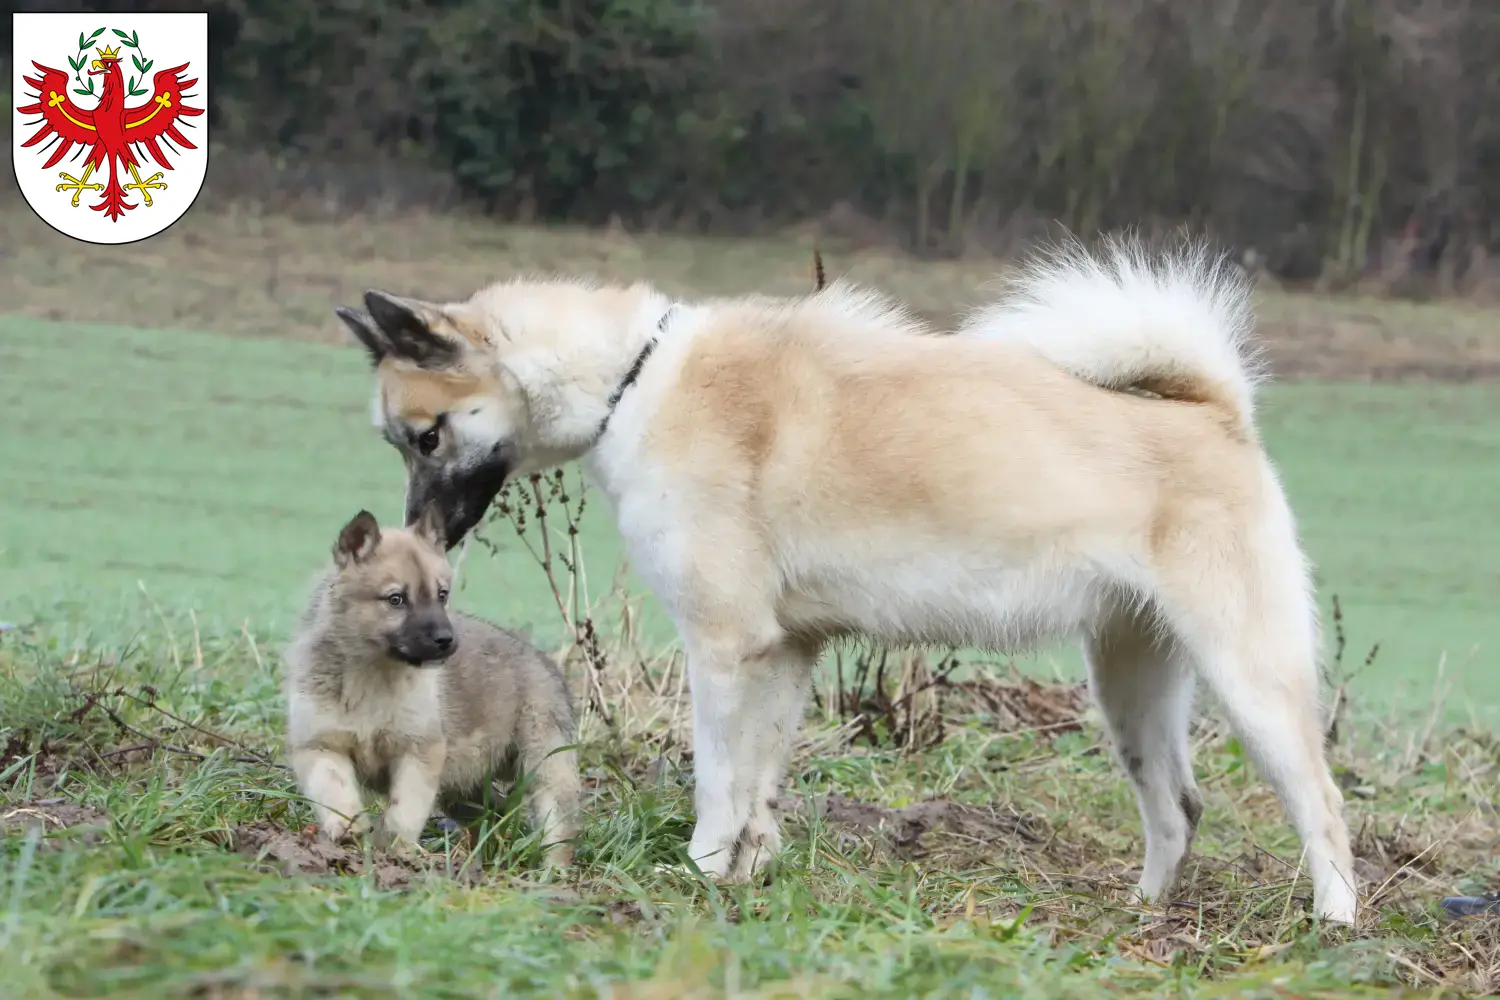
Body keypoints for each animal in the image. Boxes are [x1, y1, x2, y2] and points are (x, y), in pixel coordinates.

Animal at [282, 509, 585, 869]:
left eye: (442, 594)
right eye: (396, 599)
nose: (447, 641)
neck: (373, 675)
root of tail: (546, 662)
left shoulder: (418, 752)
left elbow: (404, 811)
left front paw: (395, 850)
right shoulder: (320, 746)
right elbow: (334, 789)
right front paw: (348, 828)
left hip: (544, 765)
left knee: (557, 826)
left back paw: (550, 872)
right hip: (461, 786)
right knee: (494, 812)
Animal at [337, 238, 1362, 929]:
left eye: (427, 436)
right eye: (401, 442)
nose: (423, 538)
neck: (634, 380)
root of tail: (1217, 412)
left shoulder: (724, 650)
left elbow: (717, 781)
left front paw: (701, 872)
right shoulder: (785, 655)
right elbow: (759, 788)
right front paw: (748, 875)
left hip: (1248, 679)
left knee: (1322, 805)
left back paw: (1335, 925)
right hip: (1131, 688)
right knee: (1177, 810)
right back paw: (1141, 913)